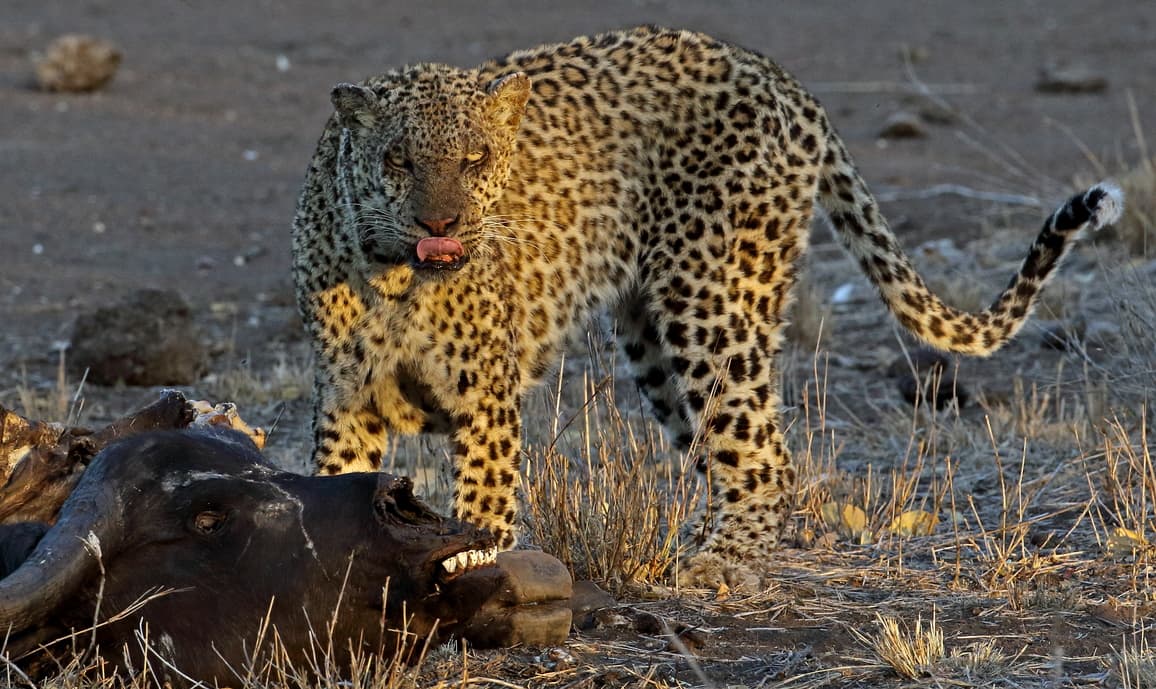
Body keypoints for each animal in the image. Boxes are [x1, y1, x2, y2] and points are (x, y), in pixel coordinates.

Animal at [293, 26, 1123, 587]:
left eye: (477, 160)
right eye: (399, 160)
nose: (442, 223)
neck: (394, 279)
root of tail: (779, 75)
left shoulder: (485, 394)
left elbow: (485, 501)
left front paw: (473, 564)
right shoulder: (346, 398)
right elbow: (334, 491)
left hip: (711, 296)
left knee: (763, 456)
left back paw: (714, 564)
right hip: (654, 337)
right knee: (729, 451)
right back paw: (695, 542)